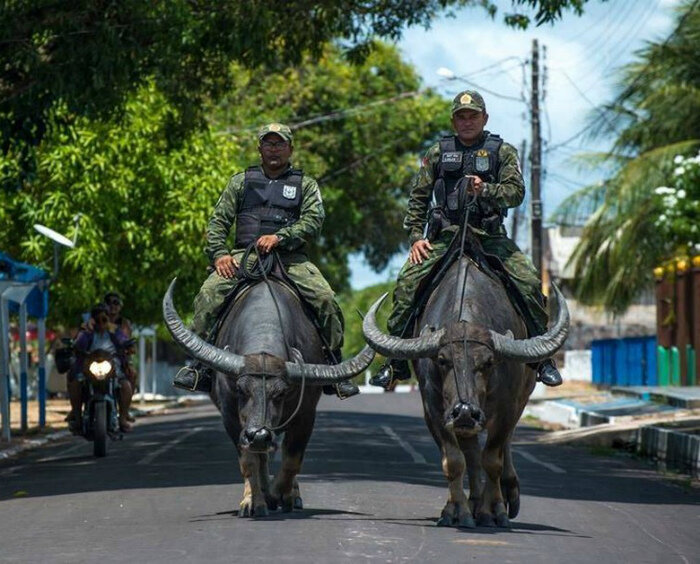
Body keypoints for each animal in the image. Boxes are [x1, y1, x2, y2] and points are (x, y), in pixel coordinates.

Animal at [164, 280, 374, 516]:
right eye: (241, 389)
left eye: (281, 392)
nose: (259, 435)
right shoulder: (231, 418)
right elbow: (249, 461)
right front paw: (254, 501)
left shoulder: (305, 415)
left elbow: (292, 461)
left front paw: (277, 495)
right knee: (260, 456)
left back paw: (289, 495)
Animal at [360, 256, 568, 528]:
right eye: (442, 360)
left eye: (488, 362)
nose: (465, 412)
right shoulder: (435, 410)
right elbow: (455, 460)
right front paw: (456, 511)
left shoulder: (507, 407)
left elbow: (493, 460)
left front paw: (494, 511)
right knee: (471, 453)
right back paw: (474, 503)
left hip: (522, 396)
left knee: (504, 444)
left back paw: (505, 494)